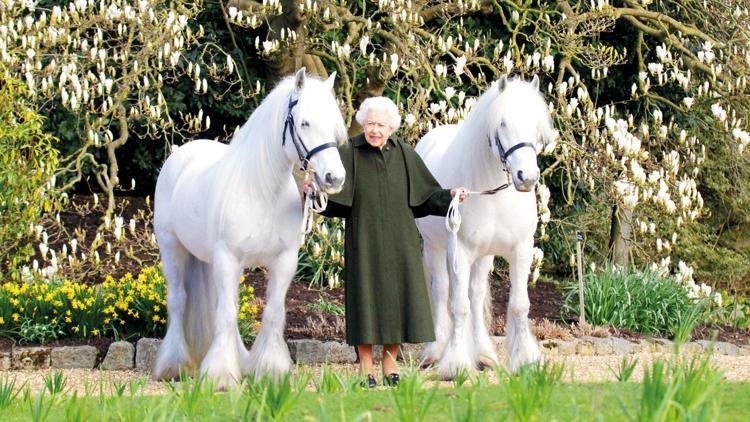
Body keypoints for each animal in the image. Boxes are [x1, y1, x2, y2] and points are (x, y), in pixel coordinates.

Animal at [151, 68, 350, 390]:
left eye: (334, 125)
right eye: (305, 122)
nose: (334, 178)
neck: (262, 191)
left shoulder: (284, 261)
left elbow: (272, 313)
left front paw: (270, 370)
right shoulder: (228, 259)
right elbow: (226, 314)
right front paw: (220, 376)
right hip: (172, 249)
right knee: (178, 301)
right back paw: (173, 365)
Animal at [418, 74, 560, 378]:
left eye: (535, 125)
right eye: (502, 123)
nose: (527, 177)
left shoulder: (521, 250)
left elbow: (518, 305)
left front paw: (526, 360)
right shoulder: (459, 251)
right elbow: (458, 306)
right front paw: (455, 364)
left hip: (483, 256)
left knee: (475, 294)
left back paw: (483, 355)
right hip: (435, 248)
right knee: (441, 291)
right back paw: (435, 351)